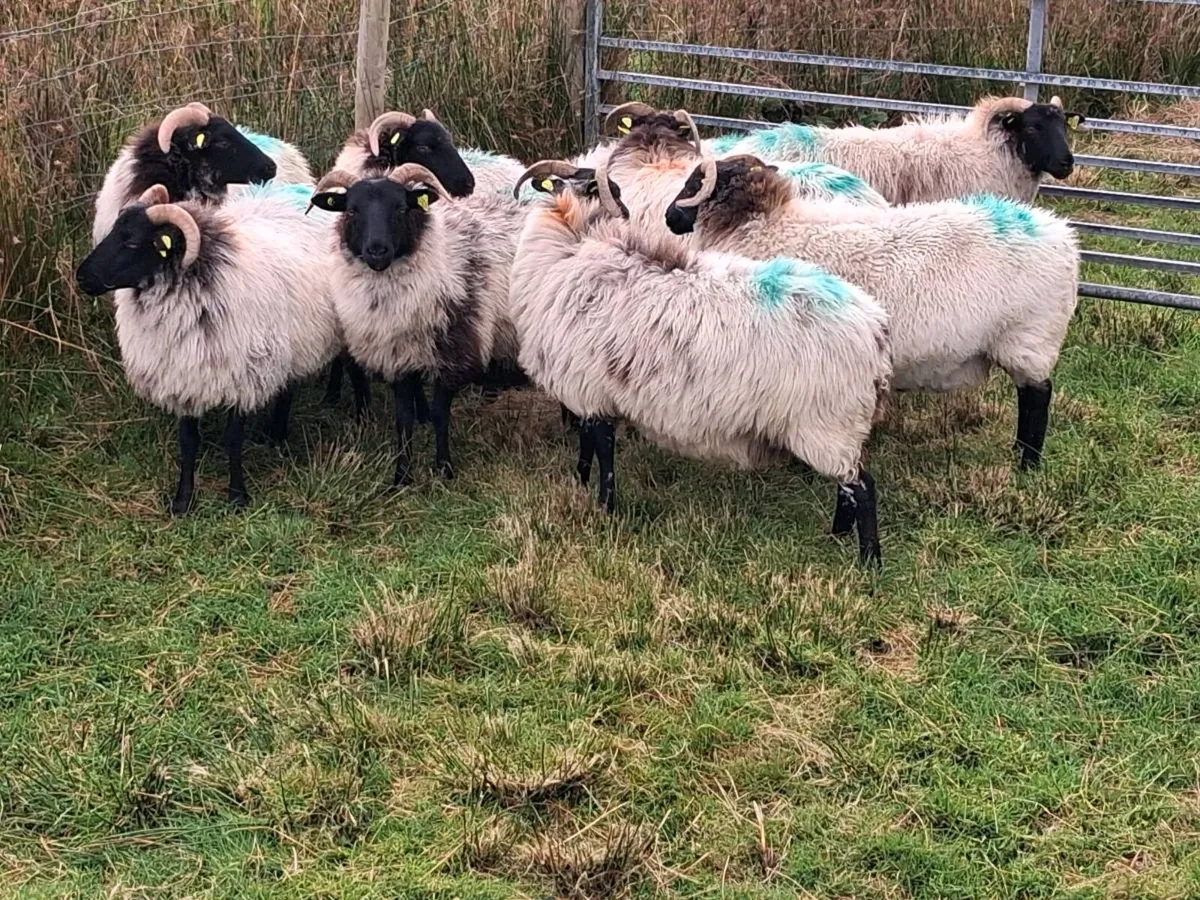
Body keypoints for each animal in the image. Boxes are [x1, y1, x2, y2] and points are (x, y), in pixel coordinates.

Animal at [75, 183, 341, 514]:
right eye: (113, 231)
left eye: (133, 242)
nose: (82, 277)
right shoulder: (184, 376)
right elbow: (188, 441)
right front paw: (183, 500)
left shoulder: (243, 378)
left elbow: (233, 439)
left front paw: (237, 496)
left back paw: (288, 425)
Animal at [308, 164, 527, 486]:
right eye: (351, 211)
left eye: (401, 208)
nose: (377, 251)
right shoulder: (399, 356)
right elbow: (404, 419)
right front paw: (402, 476)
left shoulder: (454, 353)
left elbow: (439, 414)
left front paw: (444, 469)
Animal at [509, 160, 893, 566]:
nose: (628, 213)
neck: (570, 247)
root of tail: (876, 329)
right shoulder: (587, 392)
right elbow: (586, 447)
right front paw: (580, 484)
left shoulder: (590, 389)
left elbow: (603, 453)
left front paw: (605, 507)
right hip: (838, 427)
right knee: (847, 488)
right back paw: (837, 535)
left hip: (829, 424)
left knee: (862, 486)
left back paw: (869, 560)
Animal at [665, 154, 1080, 469]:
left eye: (693, 183)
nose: (669, 218)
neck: (763, 225)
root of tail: (1063, 236)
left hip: (1029, 337)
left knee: (1037, 396)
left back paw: (1027, 462)